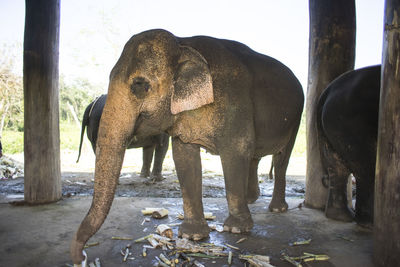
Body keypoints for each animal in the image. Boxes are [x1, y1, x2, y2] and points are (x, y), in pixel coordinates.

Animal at [71, 28, 304, 264]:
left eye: (140, 85)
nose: (81, 257)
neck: (183, 43)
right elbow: (184, 156)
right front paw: (192, 236)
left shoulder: (235, 102)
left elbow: (236, 150)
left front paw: (236, 230)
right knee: (255, 157)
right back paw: (251, 199)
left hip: (296, 117)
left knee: (281, 158)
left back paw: (277, 208)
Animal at [318, 64, 380, 226]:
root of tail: (327, 91)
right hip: (351, 122)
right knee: (366, 166)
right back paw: (368, 222)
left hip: (334, 123)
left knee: (336, 166)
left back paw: (343, 217)